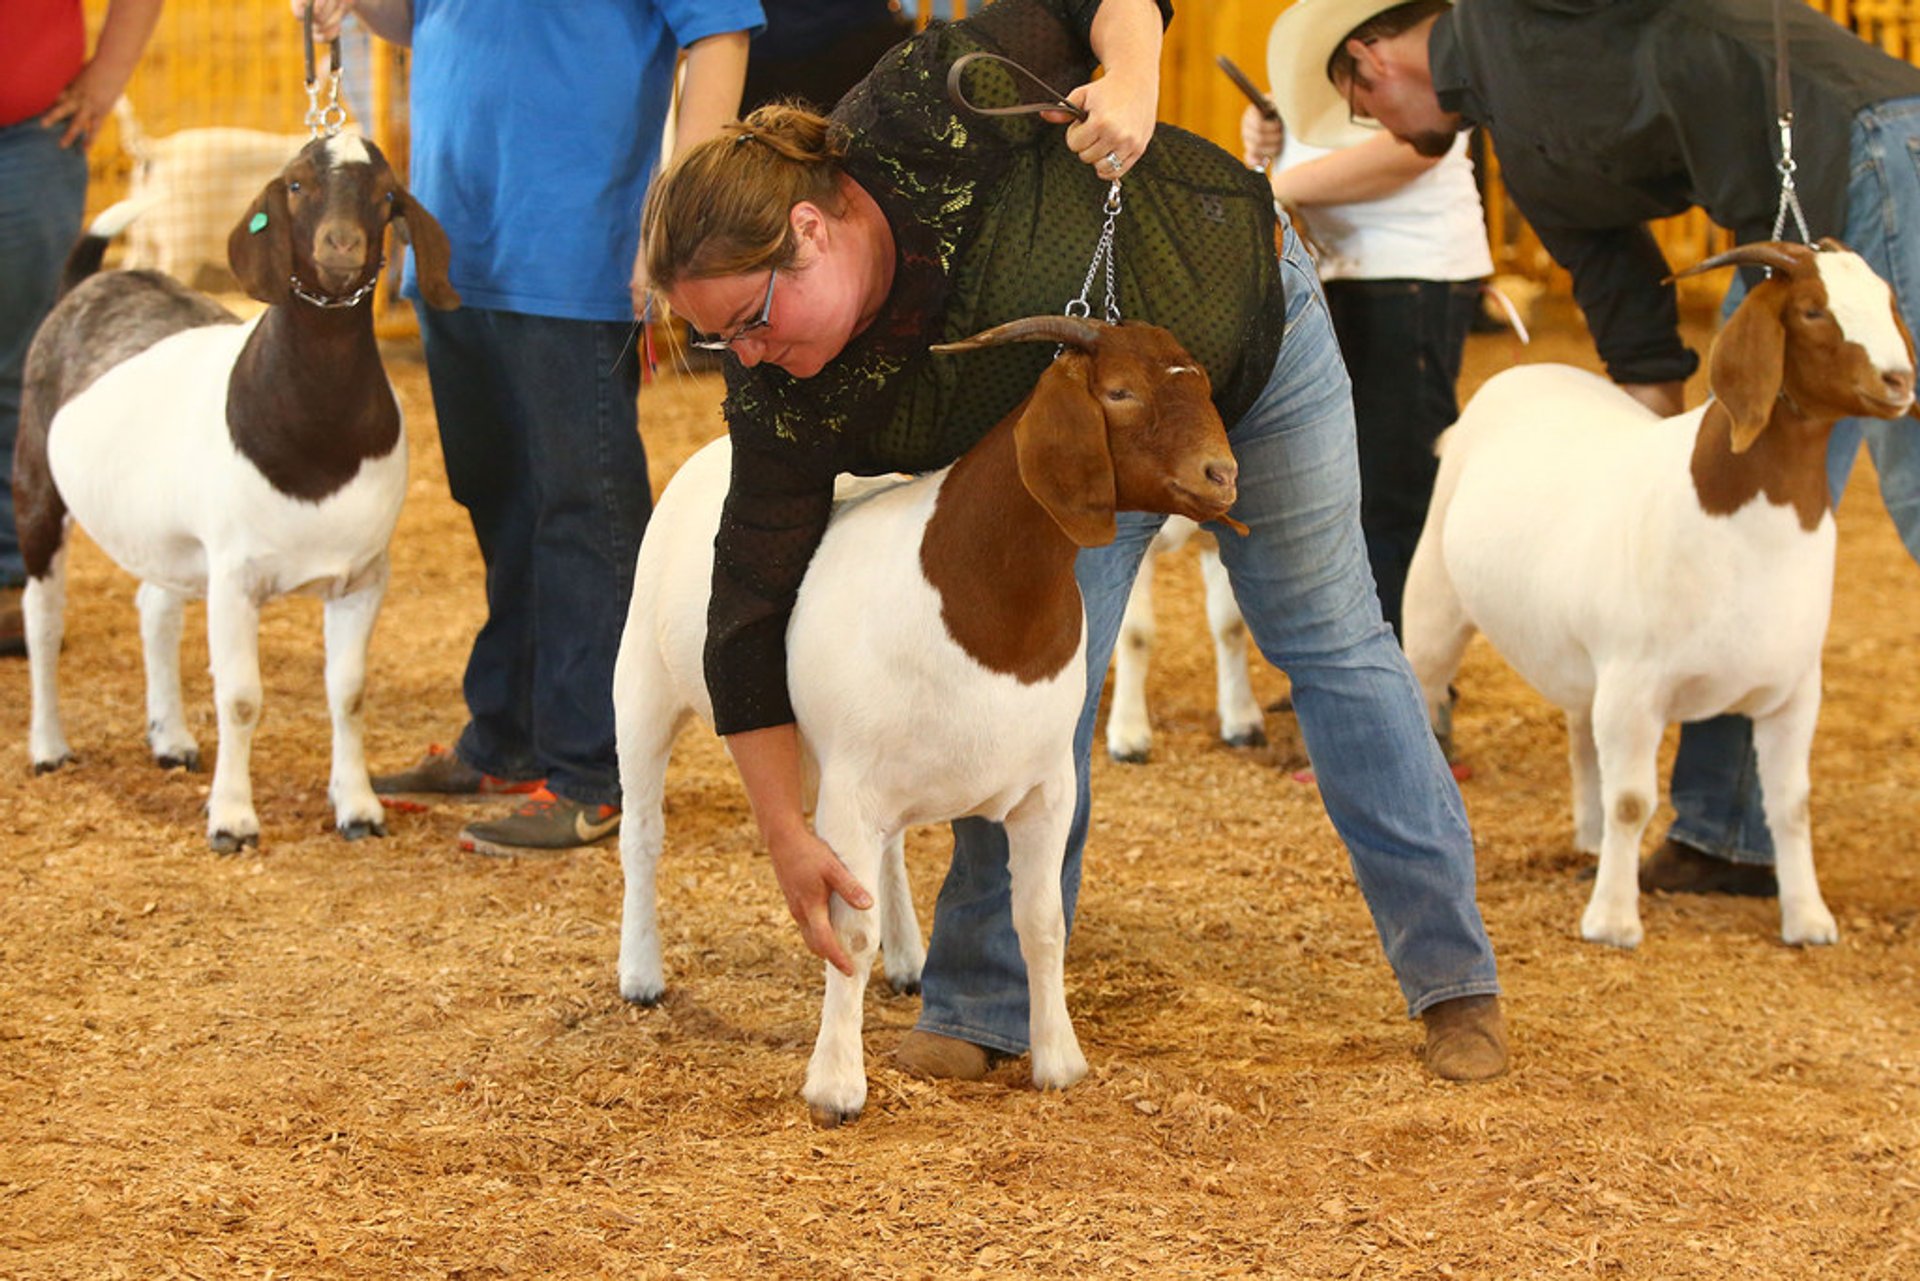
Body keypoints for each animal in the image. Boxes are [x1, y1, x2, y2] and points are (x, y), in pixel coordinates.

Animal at [17, 132, 456, 852]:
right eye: (298, 184)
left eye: (386, 193)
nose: (340, 244)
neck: (316, 434)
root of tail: (92, 281)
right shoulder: (235, 576)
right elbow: (241, 697)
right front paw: (232, 819)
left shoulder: (364, 576)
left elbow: (349, 692)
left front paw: (358, 806)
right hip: (37, 490)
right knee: (45, 616)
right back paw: (49, 746)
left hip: (167, 536)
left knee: (154, 608)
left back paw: (169, 738)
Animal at [614, 314, 1244, 1129]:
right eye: (1120, 392)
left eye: (1200, 380)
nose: (1222, 474)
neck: (976, 597)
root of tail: (712, 451)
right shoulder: (853, 792)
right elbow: (850, 932)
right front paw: (836, 1087)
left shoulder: (1045, 788)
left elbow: (1041, 922)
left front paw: (1060, 1060)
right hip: (643, 685)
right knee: (643, 835)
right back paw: (641, 972)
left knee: (888, 861)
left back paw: (911, 962)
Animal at [1397, 240, 1920, 948]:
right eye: (1813, 310)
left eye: (1888, 298)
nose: (1898, 381)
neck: (1742, 517)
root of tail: (1523, 373)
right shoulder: (1634, 685)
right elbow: (1633, 802)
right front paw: (1614, 919)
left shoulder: (1794, 690)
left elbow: (1792, 805)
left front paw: (1808, 918)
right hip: (1434, 598)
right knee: (1423, 695)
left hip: (1580, 660)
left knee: (1579, 734)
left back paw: (1589, 842)